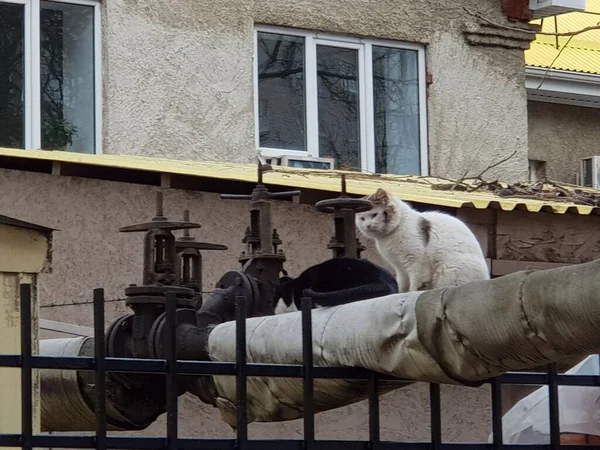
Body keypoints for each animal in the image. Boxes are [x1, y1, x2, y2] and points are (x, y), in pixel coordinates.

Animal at [354, 188, 490, 294]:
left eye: (374, 215)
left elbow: (416, 283)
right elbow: (403, 284)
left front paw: (413, 292)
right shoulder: (400, 267)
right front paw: (401, 293)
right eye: (362, 219)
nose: (367, 226)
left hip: (448, 271)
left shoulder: (416, 261)